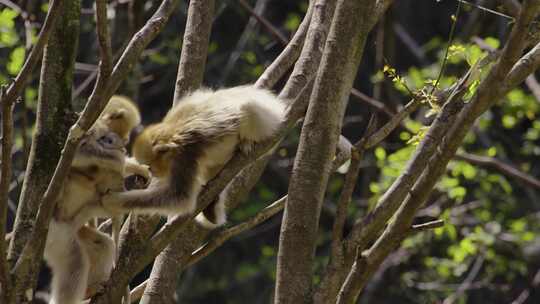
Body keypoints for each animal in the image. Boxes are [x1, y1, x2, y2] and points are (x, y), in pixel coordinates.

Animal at [102, 85, 286, 228]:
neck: (173, 135)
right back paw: (212, 207)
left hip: (264, 118)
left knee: (248, 108)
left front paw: (114, 201)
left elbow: (180, 198)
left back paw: (246, 142)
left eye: (152, 165)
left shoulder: (185, 156)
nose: (152, 171)